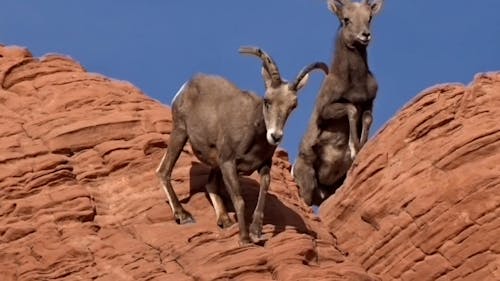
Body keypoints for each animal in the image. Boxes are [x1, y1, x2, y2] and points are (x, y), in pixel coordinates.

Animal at [156, 47, 328, 244]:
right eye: (267, 101)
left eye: (293, 106)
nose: (275, 136)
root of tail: (187, 85)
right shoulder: (228, 163)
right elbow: (239, 200)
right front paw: (245, 239)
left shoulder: (263, 165)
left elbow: (263, 192)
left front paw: (256, 232)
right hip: (180, 132)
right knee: (164, 171)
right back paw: (183, 216)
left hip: (213, 161)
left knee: (210, 184)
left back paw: (225, 221)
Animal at [292, 0, 382, 206]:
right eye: (346, 19)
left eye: (369, 18)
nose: (365, 35)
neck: (354, 82)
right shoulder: (326, 110)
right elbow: (351, 110)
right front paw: (353, 148)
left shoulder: (369, 104)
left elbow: (367, 118)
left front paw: (360, 147)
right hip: (307, 185)